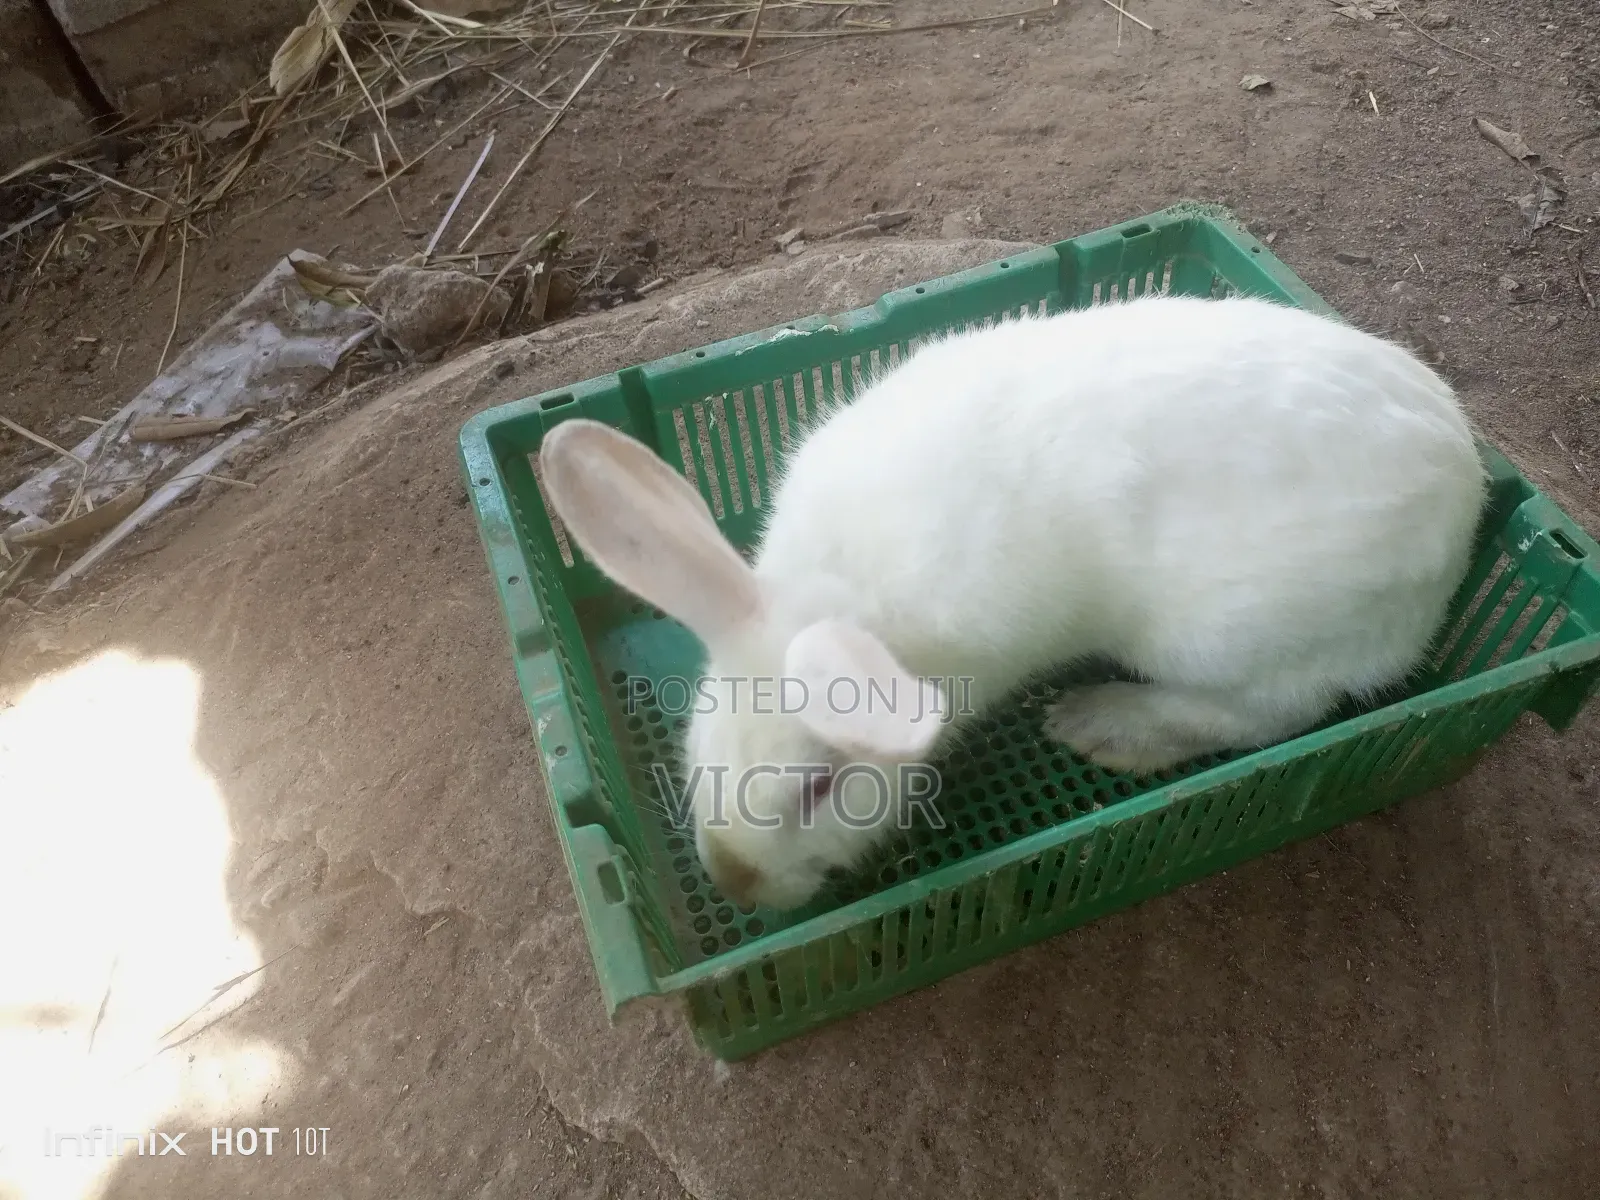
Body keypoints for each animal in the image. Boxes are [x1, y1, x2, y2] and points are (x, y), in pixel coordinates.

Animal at [537, 292, 1488, 913]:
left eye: (820, 788)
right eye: (699, 748)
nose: (734, 882)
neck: (852, 600)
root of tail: (1467, 489)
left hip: (1227, 638)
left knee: (1273, 713)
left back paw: (1102, 724)